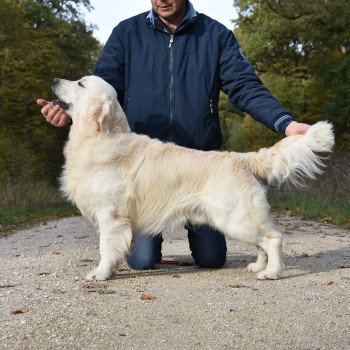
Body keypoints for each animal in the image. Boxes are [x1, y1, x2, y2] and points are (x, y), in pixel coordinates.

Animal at [52, 75, 334, 280]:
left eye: (80, 83)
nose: (54, 79)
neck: (100, 137)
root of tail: (241, 158)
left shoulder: (111, 215)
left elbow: (105, 246)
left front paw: (100, 273)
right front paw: (110, 269)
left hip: (235, 218)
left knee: (273, 239)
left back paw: (272, 272)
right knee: (261, 243)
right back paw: (258, 266)